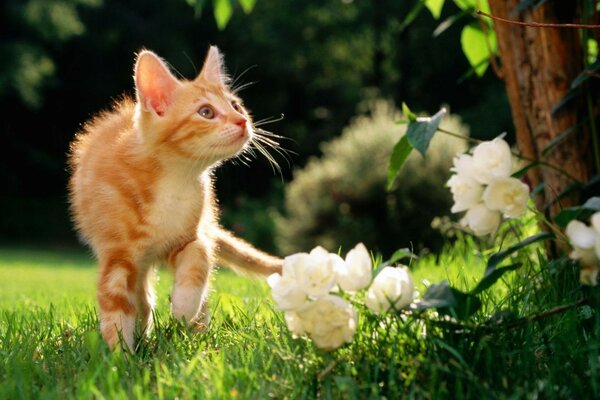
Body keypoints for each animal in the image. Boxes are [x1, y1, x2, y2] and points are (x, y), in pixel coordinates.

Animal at [69, 46, 284, 350]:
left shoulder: (188, 235)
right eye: (206, 112)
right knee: (142, 294)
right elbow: (116, 301)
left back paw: (196, 331)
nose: (242, 121)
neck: (174, 179)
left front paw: (183, 307)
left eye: (236, 106)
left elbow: (199, 256)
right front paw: (120, 354)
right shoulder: (117, 253)